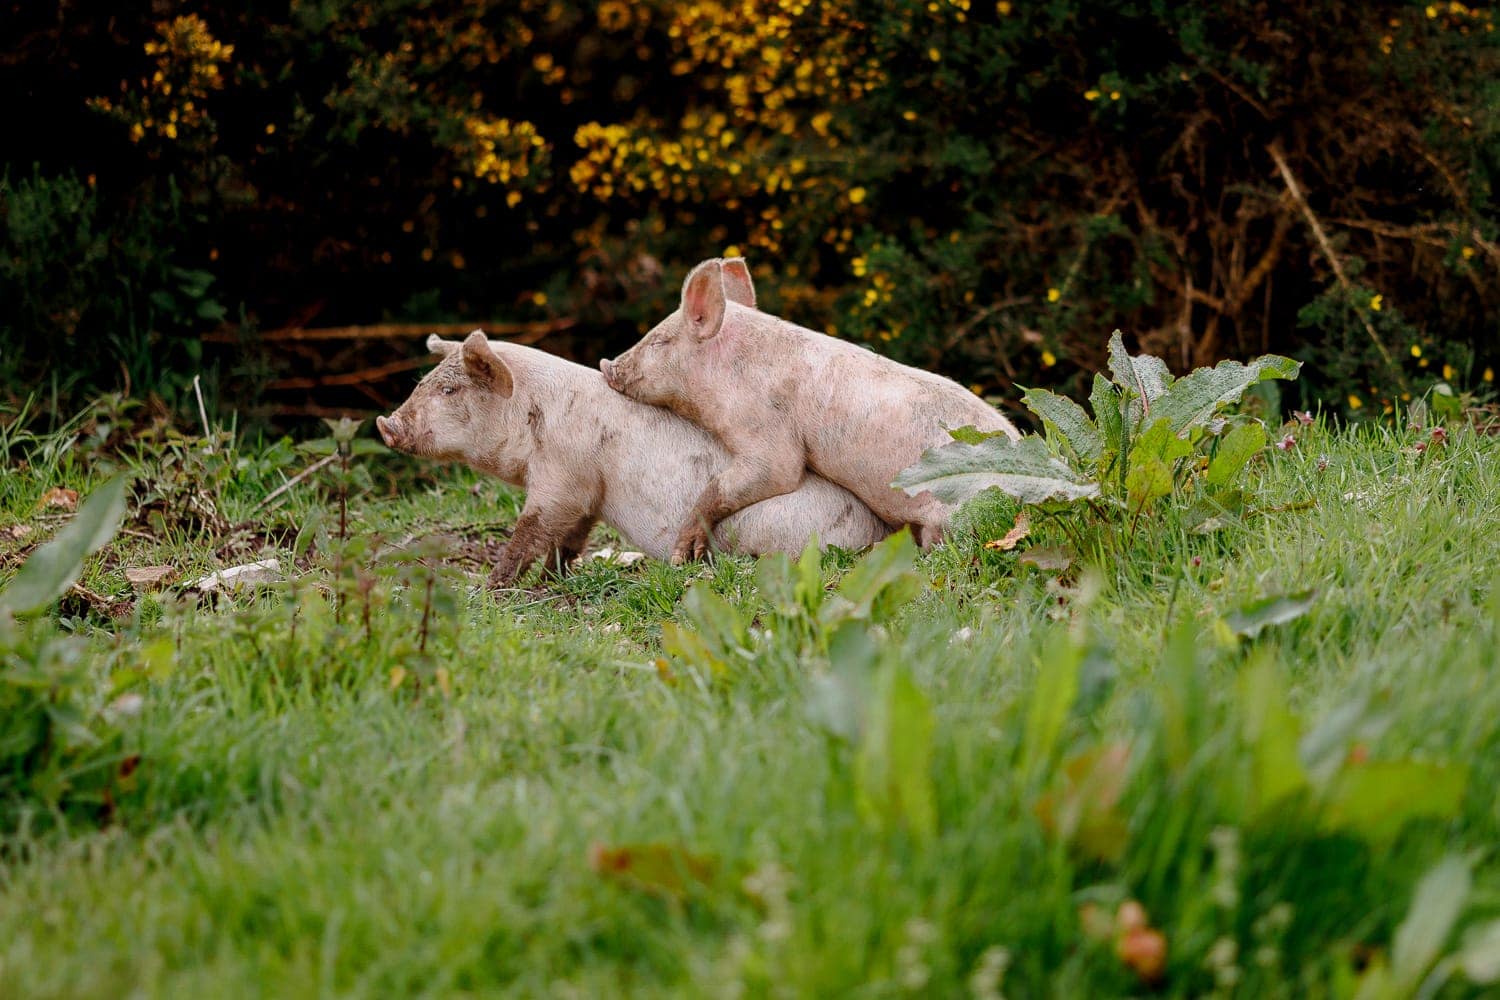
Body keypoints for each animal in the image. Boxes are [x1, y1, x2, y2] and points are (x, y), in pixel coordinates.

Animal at [375, 330, 890, 586]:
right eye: (423, 382)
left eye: (449, 390)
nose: (385, 424)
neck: (534, 418)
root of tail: (880, 532)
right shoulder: (588, 493)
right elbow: (569, 538)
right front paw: (554, 577)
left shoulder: (563, 475)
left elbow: (532, 529)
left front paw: (490, 588)